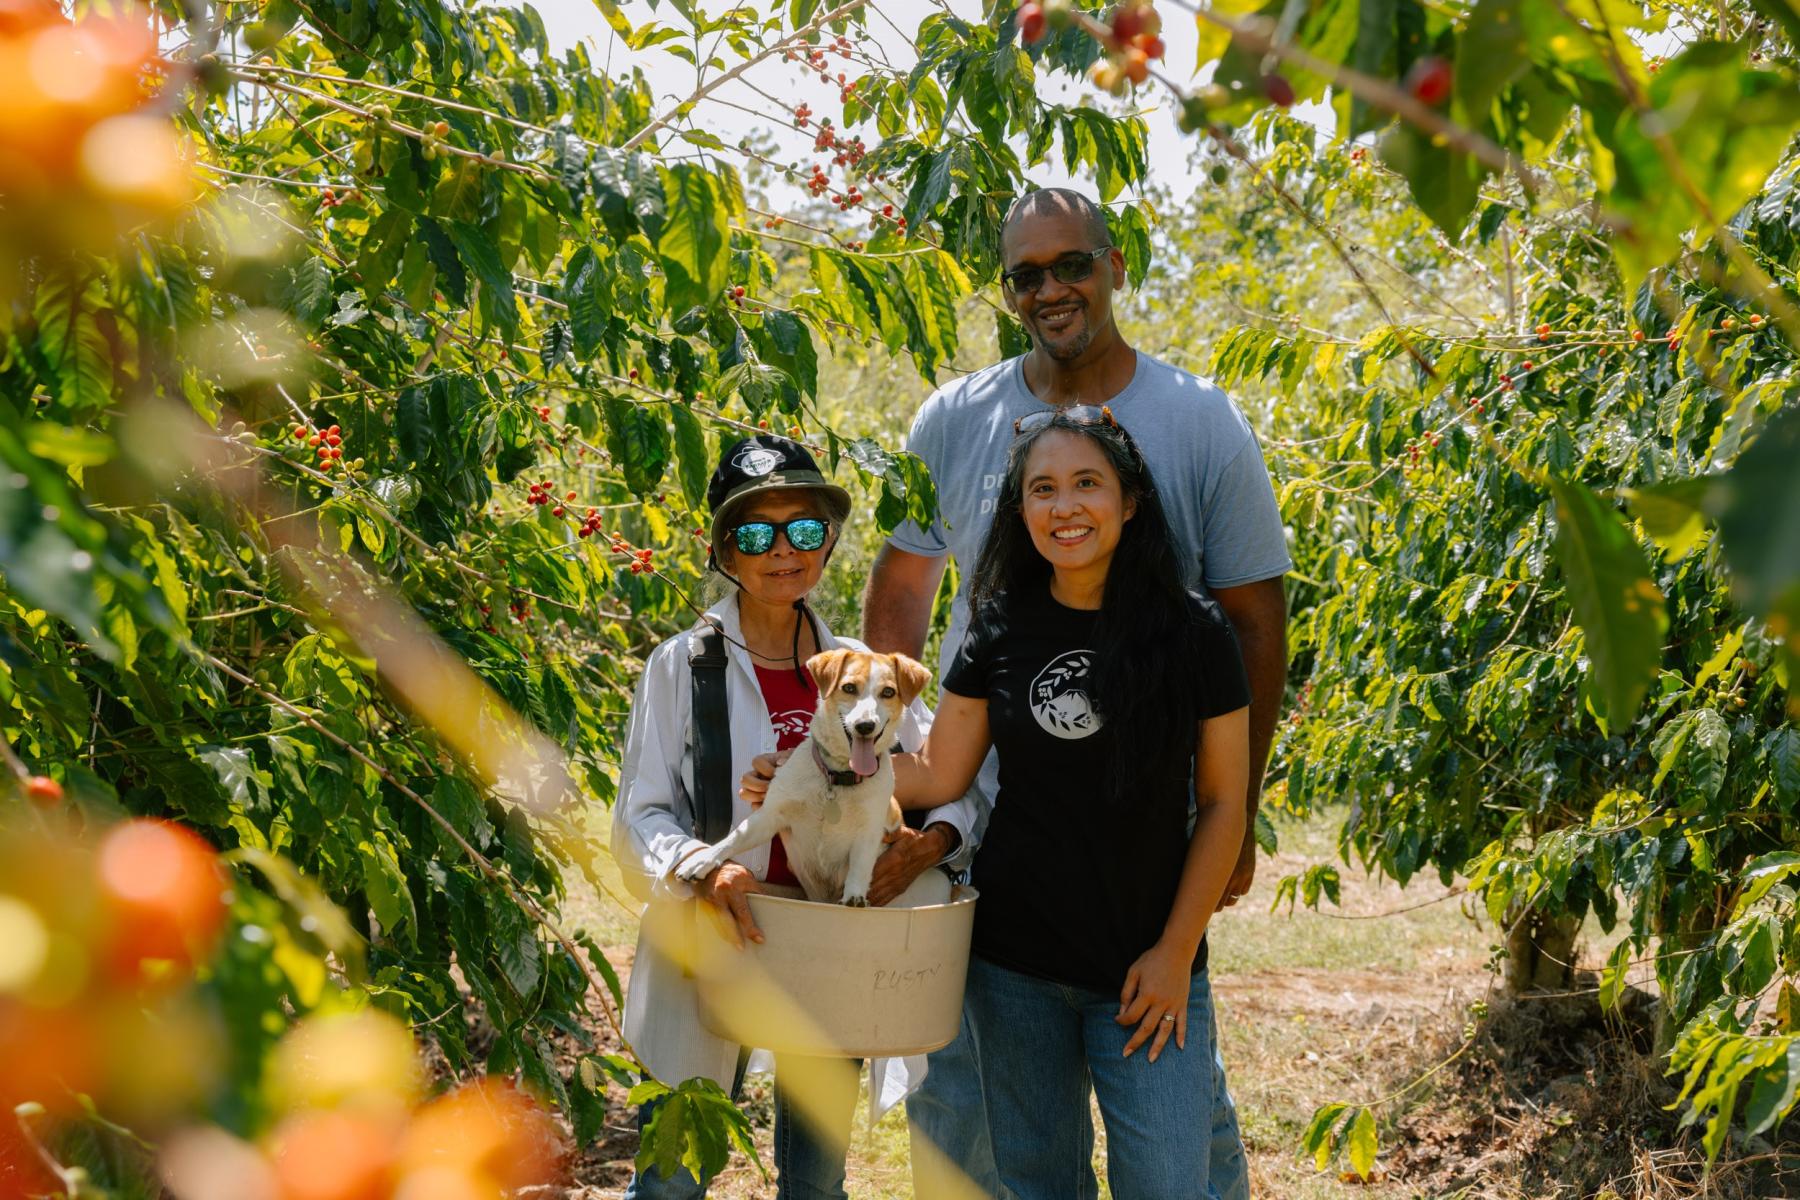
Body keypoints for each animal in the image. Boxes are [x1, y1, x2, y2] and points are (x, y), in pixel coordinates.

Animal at [673, 651, 928, 906]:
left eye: (888, 692)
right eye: (849, 687)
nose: (865, 725)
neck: (836, 779)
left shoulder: (870, 830)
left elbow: (861, 865)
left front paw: (854, 895)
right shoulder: (769, 816)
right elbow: (733, 839)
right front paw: (702, 860)